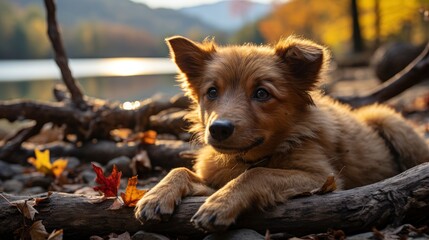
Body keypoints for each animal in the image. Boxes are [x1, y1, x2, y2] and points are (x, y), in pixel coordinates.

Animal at [135, 35, 428, 231]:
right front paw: (156, 195)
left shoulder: (323, 177)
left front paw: (220, 204)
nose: (218, 129)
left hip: (388, 120)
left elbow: (258, 174)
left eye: (262, 93)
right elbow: (180, 170)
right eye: (212, 92)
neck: (249, 157)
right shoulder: (214, 177)